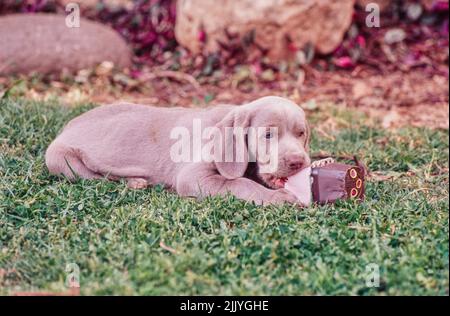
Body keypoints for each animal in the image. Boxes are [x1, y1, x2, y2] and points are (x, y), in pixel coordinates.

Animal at [46, 96, 312, 205]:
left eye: (301, 133)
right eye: (268, 135)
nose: (298, 161)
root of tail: (67, 125)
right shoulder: (192, 177)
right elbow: (239, 183)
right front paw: (279, 198)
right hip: (59, 160)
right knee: (97, 178)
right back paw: (135, 182)